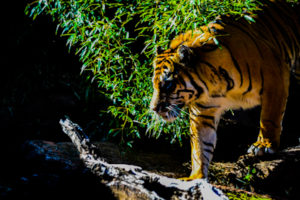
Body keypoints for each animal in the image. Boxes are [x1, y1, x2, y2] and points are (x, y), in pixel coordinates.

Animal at [150, 0, 300, 180]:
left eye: (168, 84)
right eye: (154, 84)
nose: (153, 108)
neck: (212, 84)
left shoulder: (275, 76)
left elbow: (269, 118)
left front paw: (264, 145)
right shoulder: (203, 112)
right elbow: (200, 146)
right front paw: (195, 177)